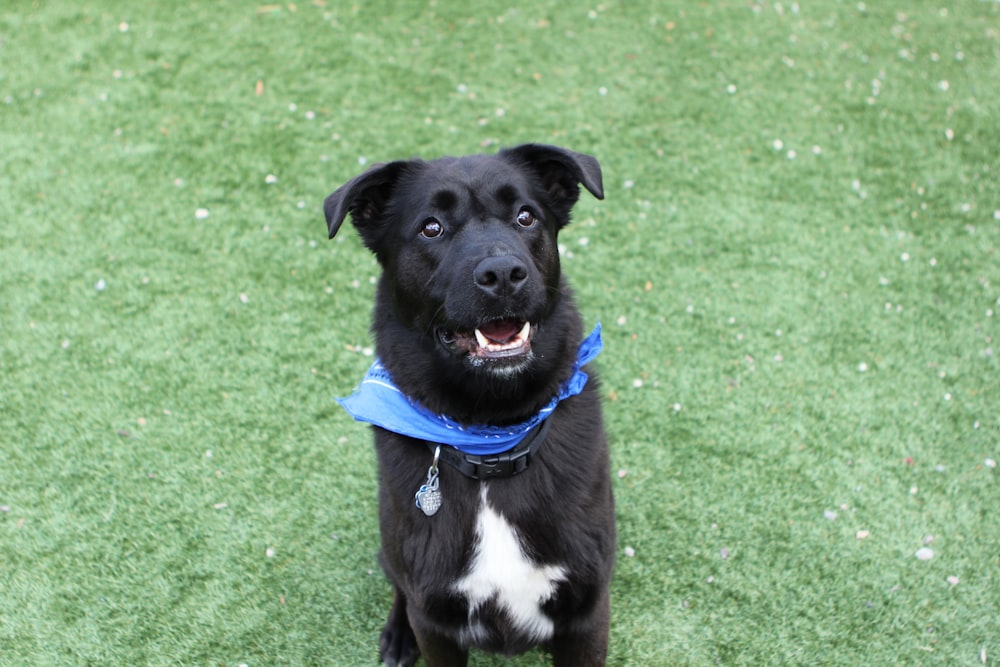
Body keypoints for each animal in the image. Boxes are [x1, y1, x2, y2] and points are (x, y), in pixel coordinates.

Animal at [324, 145, 612, 667]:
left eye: (525, 216)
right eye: (431, 227)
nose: (502, 275)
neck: (491, 443)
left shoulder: (588, 608)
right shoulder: (436, 619)